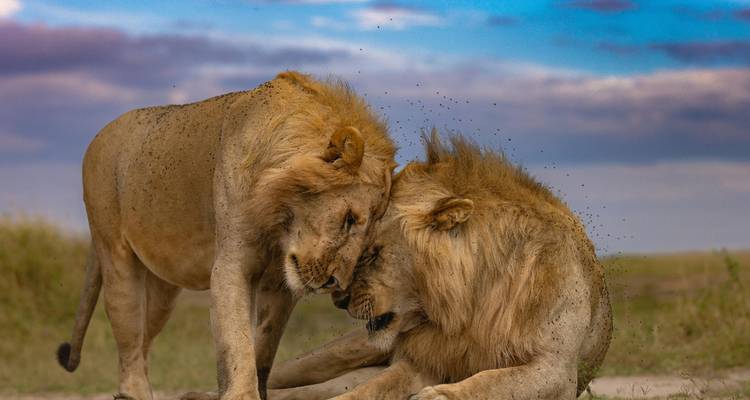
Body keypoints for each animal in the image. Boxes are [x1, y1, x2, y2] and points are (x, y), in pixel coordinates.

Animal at [56, 71, 396, 400]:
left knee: (143, 339)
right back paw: (133, 393)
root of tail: (100, 133)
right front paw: (242, 393)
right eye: (350, 218)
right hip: (115, 254)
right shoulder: (232, 264)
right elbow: (237, 342)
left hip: (162, 289)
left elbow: (264, 345)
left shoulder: (281, 284)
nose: (335, 284)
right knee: (128, 339)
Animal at [257, 131, 613, 400]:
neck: (468, 306)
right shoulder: (424, 360)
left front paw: (437, 395)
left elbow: (493, 382)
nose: (340, 300)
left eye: (372, 253)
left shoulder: (556, 370)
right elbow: (372, 388)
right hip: (342, 350)